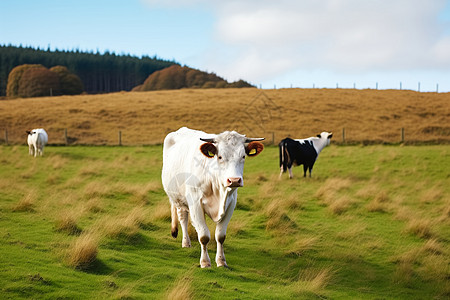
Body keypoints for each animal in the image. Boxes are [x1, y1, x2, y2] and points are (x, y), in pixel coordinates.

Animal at [162, 126, 266, 268]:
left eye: (243, 156)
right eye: (220, 156)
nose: (234, 180)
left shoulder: (231, 204)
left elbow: (220, 236)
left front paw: (221, 261)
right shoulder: (195, 204)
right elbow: (204, 236)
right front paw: (205, 262)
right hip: (179, 199)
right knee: (183, 218)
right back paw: (186, 242)